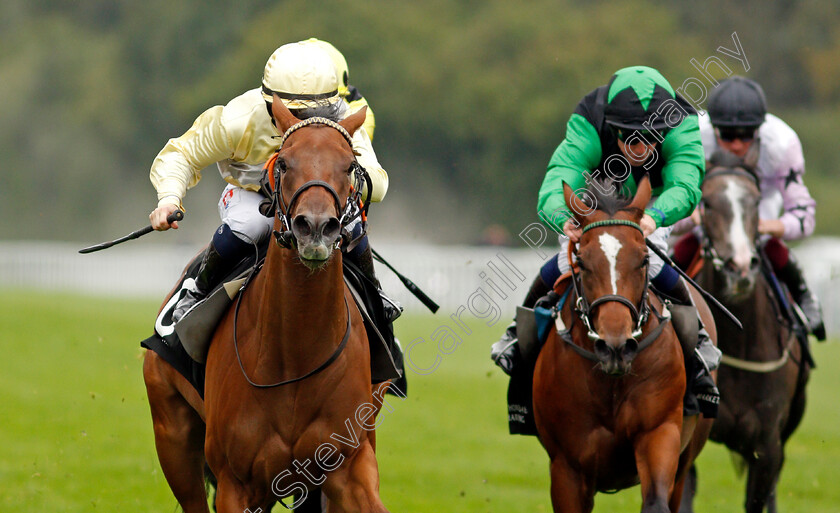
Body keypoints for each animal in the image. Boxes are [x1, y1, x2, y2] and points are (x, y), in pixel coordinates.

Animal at [144, 97, 390, 512]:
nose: (316, 228)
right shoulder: (236, 482)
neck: (295, 356)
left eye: (349, 165)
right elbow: (181, 150)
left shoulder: (349, 464)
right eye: (285, 161)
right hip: (172, 433)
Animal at [536, 177, 712, 512]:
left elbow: (656, 501)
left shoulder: (660, 432)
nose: (615, 347)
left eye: (644, 259)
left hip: (687, 455)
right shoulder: (566, 466)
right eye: (581, 261)